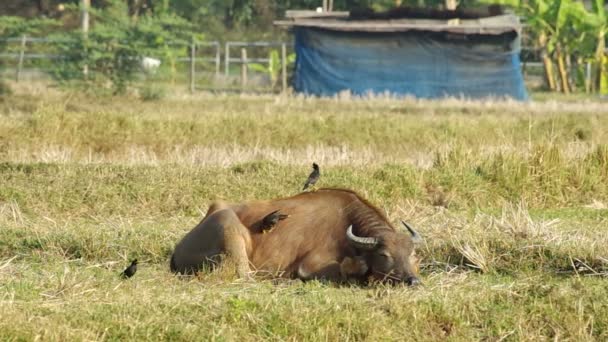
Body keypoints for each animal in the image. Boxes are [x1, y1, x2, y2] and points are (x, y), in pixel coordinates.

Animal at [169, 188, 420, 284]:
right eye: (384, 254)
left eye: (411, 254)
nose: (412, 281)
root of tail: (177, 250)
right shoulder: (310, 266)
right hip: (228, 224)